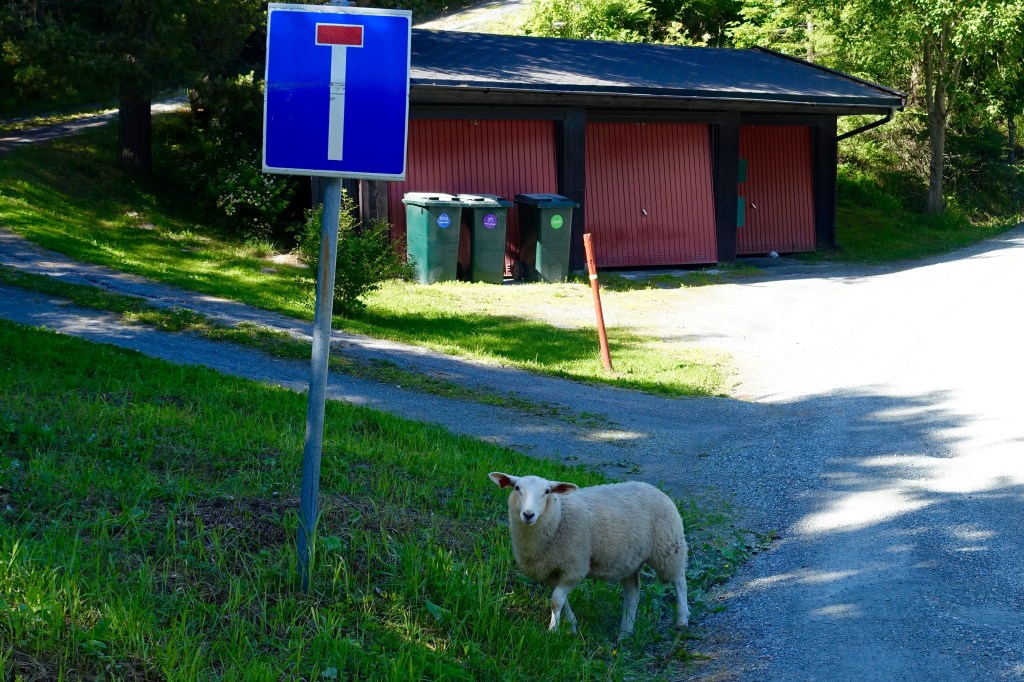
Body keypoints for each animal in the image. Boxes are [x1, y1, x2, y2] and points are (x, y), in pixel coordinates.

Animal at [488, 472, 689, 638]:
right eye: (517, 488)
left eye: (547, 491)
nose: (528, 514)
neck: (558, 518)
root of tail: (652, 487)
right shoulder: (552, 572)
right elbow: (561, 600)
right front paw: (572, 625)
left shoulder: (575, 568)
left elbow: (556, 601)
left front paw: (553, 630)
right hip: (629, 560)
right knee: (632, 594)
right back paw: (625, 632)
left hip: (668, 547)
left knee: (679, 580)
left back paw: (682, 619)